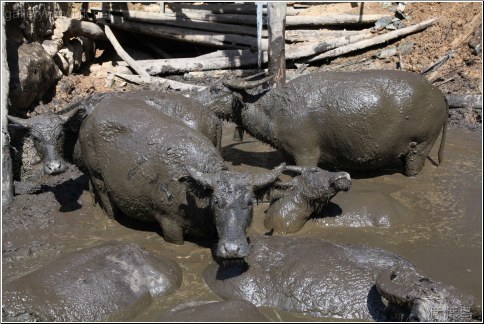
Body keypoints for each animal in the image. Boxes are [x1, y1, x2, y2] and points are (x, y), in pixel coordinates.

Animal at [78, 97, 284, 260]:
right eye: (217, 202)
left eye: (249, 203)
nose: (233, 250)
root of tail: (91, 116)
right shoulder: (168, 221)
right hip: (97, 177)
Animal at [212, 70, 450, 176]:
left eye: (215, 89)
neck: (276, 111)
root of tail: (440, 94)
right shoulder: (288, 152)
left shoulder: (306, 151)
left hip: (422, 142)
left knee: (414, 165)